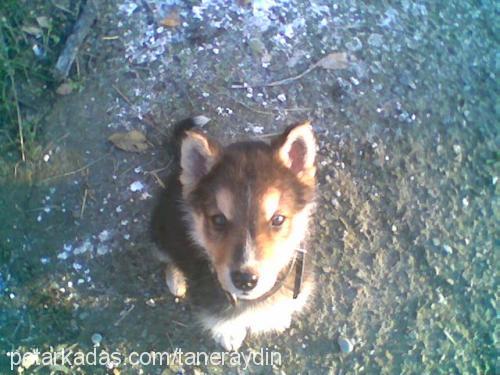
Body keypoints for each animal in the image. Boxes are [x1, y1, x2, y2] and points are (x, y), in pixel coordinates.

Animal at [150, 118, 318, 352]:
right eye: (218, 220)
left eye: (278, 219)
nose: (246, 281)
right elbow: (223, 319)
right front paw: (228, 333)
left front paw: (279, 315)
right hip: (160, 230)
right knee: (167, 257)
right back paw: (176, 280)